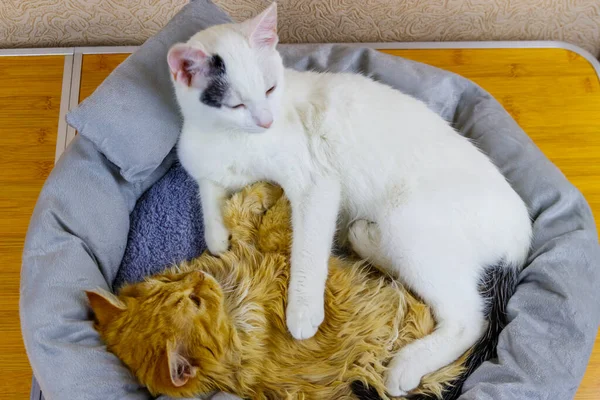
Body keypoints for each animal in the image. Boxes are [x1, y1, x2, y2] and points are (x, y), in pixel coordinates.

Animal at [86, 183, 466, 398]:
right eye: (194, 301)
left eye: (173, 285)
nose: (198, 279)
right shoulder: (287, 257)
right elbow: (276, 223)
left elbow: (240, 208)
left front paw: (265, 188)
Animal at [168, 3, 528, 396]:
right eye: (235, 105)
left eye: (270, 88)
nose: (266, 121)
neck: (232, 141)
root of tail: (521, 234)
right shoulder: (202, 163)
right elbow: (209, 192)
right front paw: (218, 236)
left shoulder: (316, 182)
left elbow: (308, 249)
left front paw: (303, 310)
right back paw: (364, 238)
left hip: (408, 221)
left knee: (469, 318)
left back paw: (406, 364)